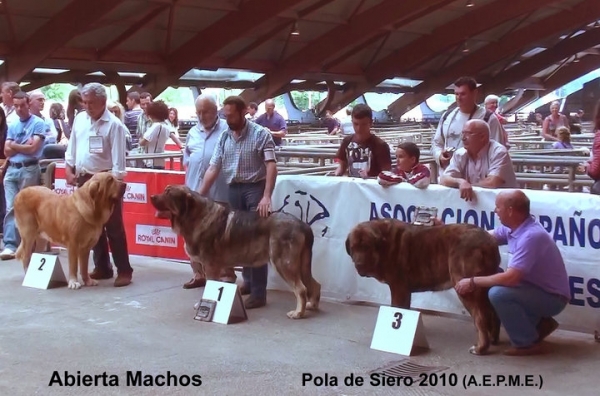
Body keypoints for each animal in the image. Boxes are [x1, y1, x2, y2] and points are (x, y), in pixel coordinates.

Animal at [150, 185, 322, 318]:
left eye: (168, 193)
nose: (151, 196)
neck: (195, 217)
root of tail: (303, 225)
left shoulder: (210, 266)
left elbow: (208, 287)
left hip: (283, 263)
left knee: (301, 289)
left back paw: (298, 313)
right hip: (302, 264)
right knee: (315, 284)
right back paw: (312, 305)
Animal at [344, 220, 500, 356]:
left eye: (366, 247)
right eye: (353, 248)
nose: (359, 264)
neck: (384, 245)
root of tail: (489, 240)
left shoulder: (398, 288)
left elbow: (397, 308)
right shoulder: (404, 291)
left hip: (464, 286)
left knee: (480, 317)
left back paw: (480, 348)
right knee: (492, 311)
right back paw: (493, 339)